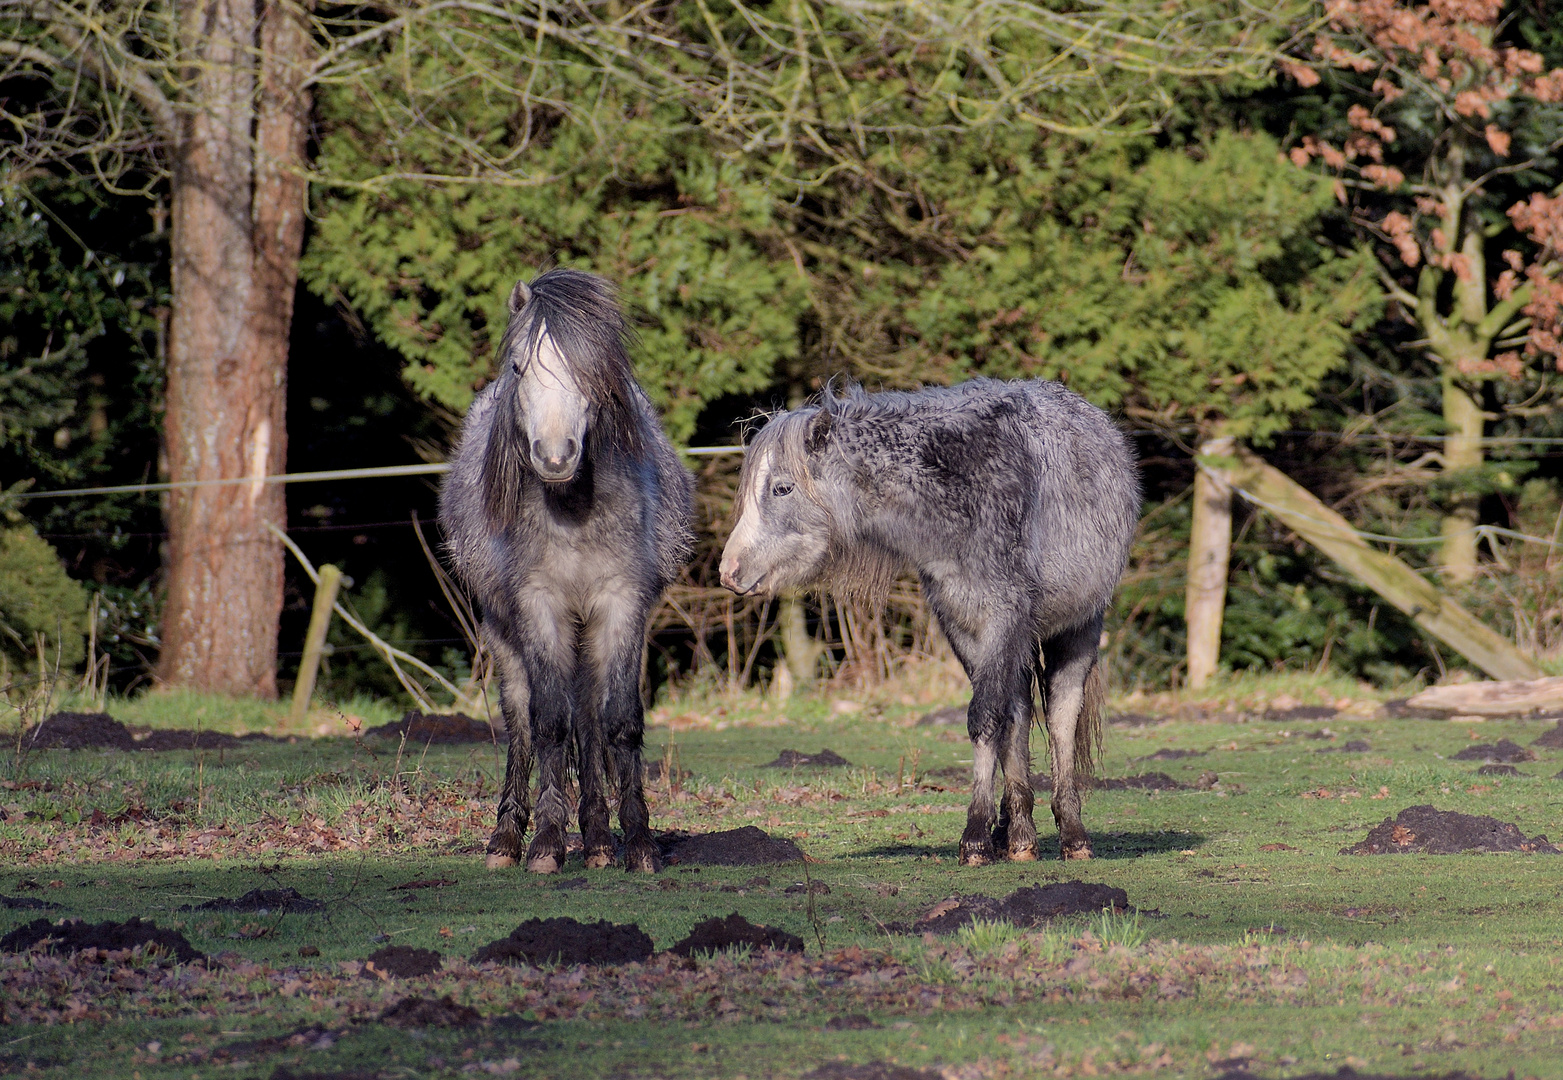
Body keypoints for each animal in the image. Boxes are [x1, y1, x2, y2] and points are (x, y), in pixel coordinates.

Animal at [434, 270, 690, 881]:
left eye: (591, 370)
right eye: (519, 366)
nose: (554, 456)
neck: (572, 507)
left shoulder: (622, 604)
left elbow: (618, 722)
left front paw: (639, 844)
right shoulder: (539, 605)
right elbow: (549, 722)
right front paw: (546, 844)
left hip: (588, 632)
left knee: (590, 719)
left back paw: (597, 840)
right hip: (503, 630)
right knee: (523, 721)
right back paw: (507, 838)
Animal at [715, 379, 1137, 862]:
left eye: (782, 489)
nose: (729, 571)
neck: (963, 492)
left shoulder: (1003, 618)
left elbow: (986, 718)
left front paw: (974, 838)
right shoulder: (964, 627)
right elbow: (997, 719)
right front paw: (998, 834)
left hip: (1077, 630)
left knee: (1061, 717)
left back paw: (1073, 835)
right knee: (1019, 712)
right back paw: (1017, 833)